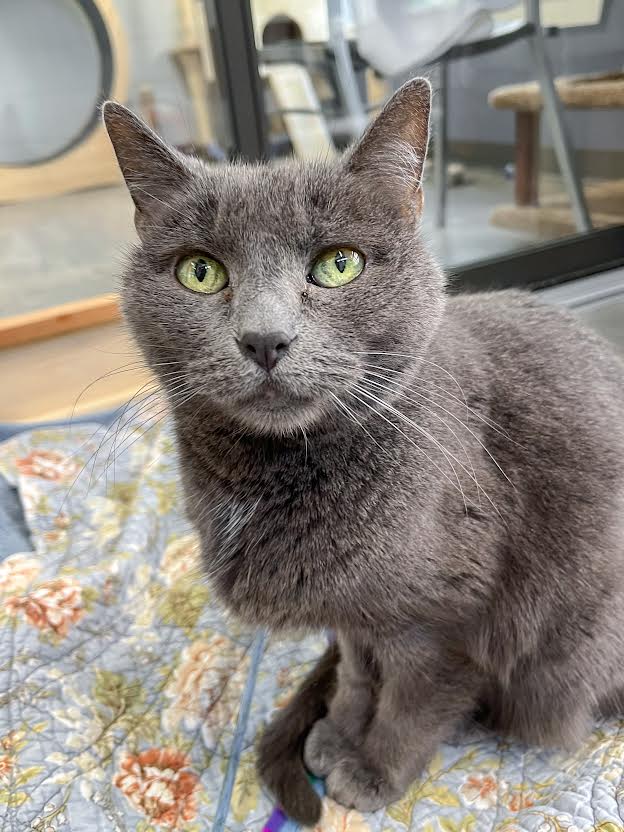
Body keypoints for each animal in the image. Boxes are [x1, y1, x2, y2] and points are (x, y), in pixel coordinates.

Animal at [103, 79, 624, 824]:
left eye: (338, 264)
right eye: (200, 272)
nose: (265, 338)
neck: (279, 472)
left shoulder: (448, 617)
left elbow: (412, 702)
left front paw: (373, 769)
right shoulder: (353, 605)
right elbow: (354, 668)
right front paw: (338, 732)